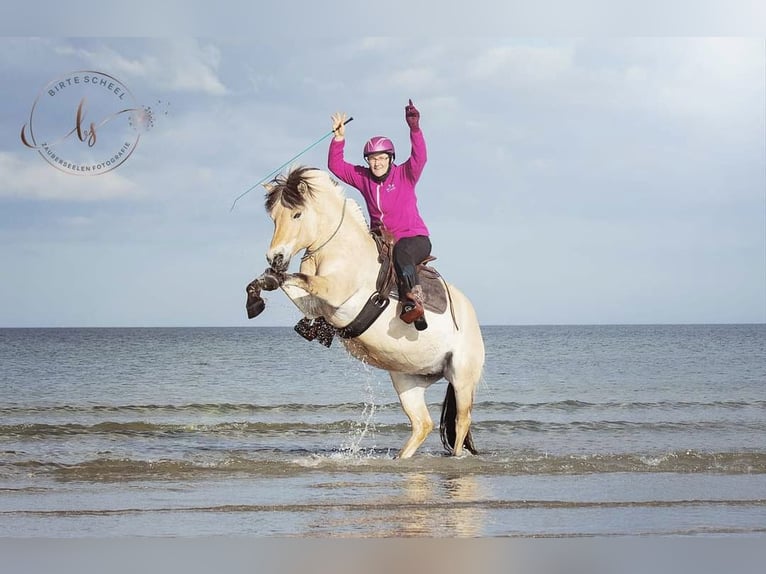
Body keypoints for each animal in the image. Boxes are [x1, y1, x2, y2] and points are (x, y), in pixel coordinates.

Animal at [252, 166, 486, 460]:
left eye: (296, 214)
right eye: (273, 218)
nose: (275, 257)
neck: (337, 250)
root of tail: (473, 320)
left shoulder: (333, 291)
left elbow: (299, 278)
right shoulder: (313, 305)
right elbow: (283, 281)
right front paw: (258, 291)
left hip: (461, 377)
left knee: (461, 421)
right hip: (407, 379)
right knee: (422, 424)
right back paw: (400, 458)